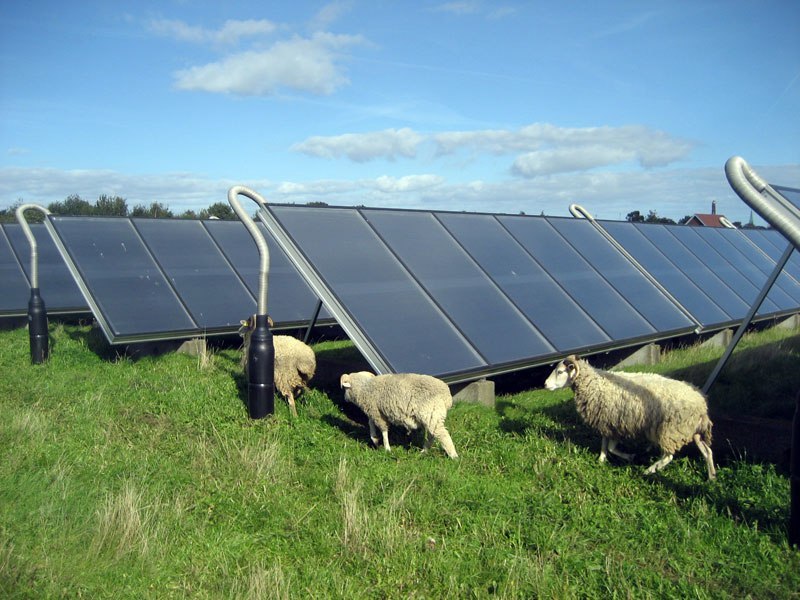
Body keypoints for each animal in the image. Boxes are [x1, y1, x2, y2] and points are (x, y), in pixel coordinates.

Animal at [544, 354, 720, 480]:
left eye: (560, 372)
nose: (545, 384)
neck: (594, 383)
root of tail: (701, 403)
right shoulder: (608, 422)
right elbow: (606, 445)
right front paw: (602, 460)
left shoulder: (610, 422)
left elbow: (609, 447)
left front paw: (628, 456)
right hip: (692, 431)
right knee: (707, 452)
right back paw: (711, 477)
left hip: (671, 431)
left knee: (669, 456)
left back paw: (650, 470)